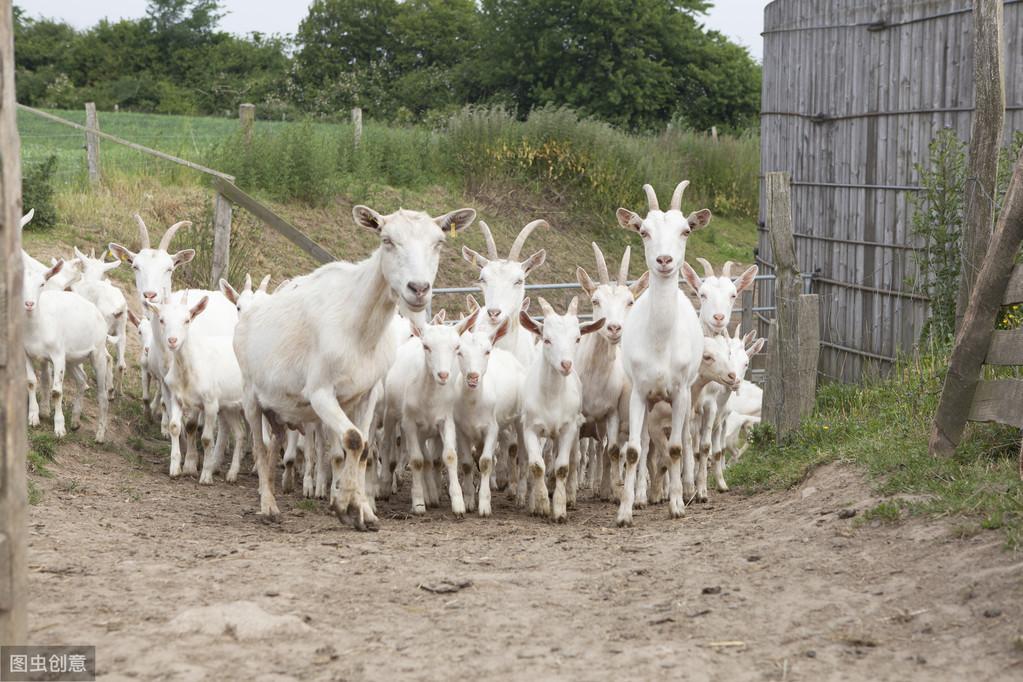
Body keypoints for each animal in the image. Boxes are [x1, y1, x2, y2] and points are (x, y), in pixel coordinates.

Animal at [21, 257, 108, 443]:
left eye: (42, 284)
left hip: (98, 352)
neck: (37, 327)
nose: (29, 304)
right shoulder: (26, 353)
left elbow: (56, 392)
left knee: (102, 394)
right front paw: (33, 417)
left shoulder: (58, 355)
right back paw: (75, 421)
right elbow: (31, 382)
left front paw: (59, 428)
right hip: (73, 357)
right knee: (82, 379)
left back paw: (100, 435)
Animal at [233, 202, 474, 527]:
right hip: (250, 393)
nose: (419, 288)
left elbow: (363, 449)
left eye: (439, 242)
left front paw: (361, 510)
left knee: (275, 443)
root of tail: (248, 309)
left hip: (278, 406)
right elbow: (353, 439)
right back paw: (268, 505)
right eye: (386, 240)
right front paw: (344, 505)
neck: (358, 328)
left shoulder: (367, 392)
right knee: (259, 446)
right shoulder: (321, 392)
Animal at [515, 296, 601, 523]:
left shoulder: (568, 427)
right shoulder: (531, 428)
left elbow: (563, 467)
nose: (566, 364)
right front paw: (541, 505)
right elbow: (536, 466)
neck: (552, 396)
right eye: (547, 339)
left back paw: (569, 494)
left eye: (577, 338)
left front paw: (560, 509)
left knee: (573, 458)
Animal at [613, 183, 712, 527]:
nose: (664, 260)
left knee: (685, 439)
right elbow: (633, 450)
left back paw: (687, 488)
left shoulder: (680, 391)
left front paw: (677, 505)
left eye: (686, 230)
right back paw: (644, 497)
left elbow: (676, 448)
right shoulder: (640, 393)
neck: (660, 343)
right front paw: (625, 511)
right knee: (644, 445)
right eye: (644, 231)